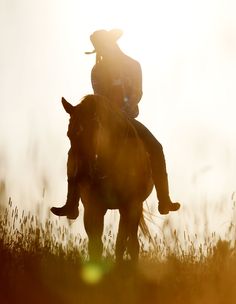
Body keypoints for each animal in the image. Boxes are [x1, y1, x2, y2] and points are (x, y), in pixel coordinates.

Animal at [60, 95, 154, 262]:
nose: (83, 175)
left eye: (95, 129)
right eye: (69, 134)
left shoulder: (131, 205)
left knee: (129, 242)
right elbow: (95, 245)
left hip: (132, 209)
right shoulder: (93, 207)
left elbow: (126, 244)